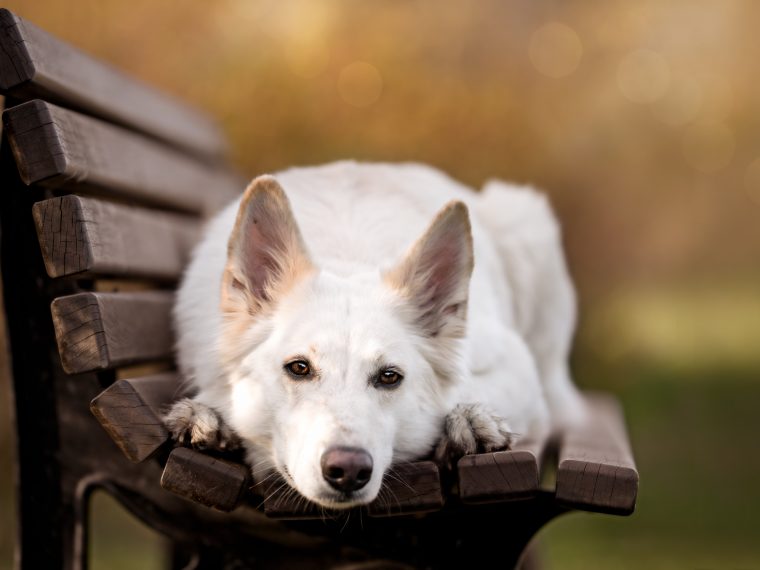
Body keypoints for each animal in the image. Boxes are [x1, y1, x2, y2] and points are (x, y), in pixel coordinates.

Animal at [163, 162, 584, 508]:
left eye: (389, 377)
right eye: (299, 368)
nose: (348, 470)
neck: (348, 259)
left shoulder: (516, 366)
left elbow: (462, 391)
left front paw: (471, 421)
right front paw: (208, 415)